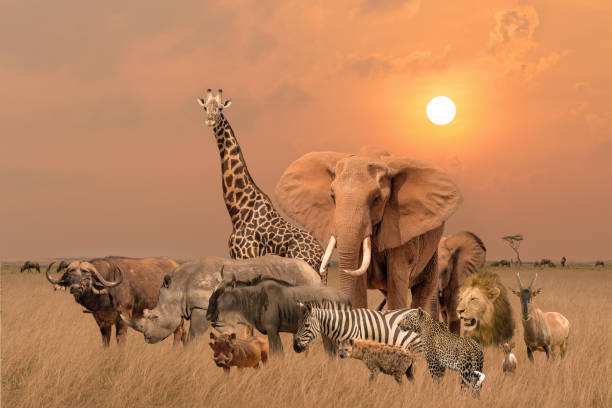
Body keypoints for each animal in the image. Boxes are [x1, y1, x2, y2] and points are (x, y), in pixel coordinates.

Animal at [46, 256, 183, 346]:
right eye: (70, 276)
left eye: (87, 277)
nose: (76, 288)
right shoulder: (101, 321)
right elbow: (105, 341)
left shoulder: (123, 318)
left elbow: (120, 341)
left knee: (179, 332)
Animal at [120, 255, 320, 344]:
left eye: (155, 317)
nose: (147, 338)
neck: (178, 289)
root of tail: (315, 273)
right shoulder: (217, 314)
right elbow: (226, 333)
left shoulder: (200, 308)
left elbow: (193, 335)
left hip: (305, 282)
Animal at [198, 89, 328, 278]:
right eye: (205, 107)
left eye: (221, 108)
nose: (210, 119)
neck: (238, 210)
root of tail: (321, 258)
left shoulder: (243, 256)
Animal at [274, 148, 462, 314]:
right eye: (332, 197)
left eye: (377, 198)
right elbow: (359, 284)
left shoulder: (400, 230)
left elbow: (396, 283)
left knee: (422, 292)